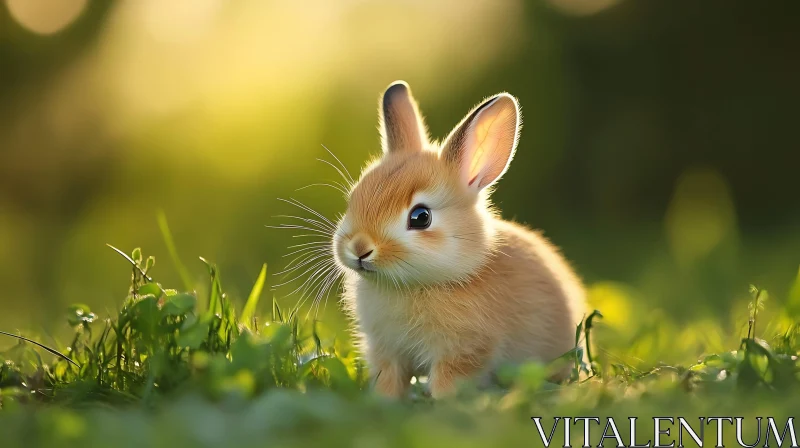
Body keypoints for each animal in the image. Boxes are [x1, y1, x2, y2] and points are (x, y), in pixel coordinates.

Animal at [332, 80, 588, 400]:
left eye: (421, 217)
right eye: (354, 198)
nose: (359, 249)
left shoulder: (464, 351)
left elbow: (449, 380)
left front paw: (443, 402)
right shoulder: (387, 351)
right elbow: (389, 380)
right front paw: (384, 401)